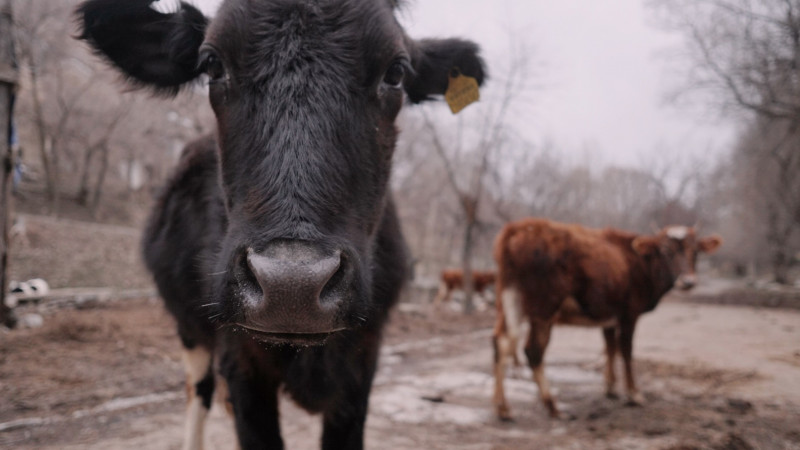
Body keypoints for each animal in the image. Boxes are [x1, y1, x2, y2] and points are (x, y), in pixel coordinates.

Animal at [76, 1, 488, 448]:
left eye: (395, 72)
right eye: (213, 64)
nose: (292, 286)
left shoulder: (363, 362)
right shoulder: (240, 362)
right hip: (190, 329)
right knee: (198, 392)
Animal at [490, 220, 720, 420]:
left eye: (696, 251)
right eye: (666, 251)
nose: (688, 281)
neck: (639, 262)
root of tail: (519, 227)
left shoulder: (609, 315)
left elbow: (610, 347)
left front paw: (610, 387)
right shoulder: (629, 314)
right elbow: (626, 350)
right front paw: (634, 393)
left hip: (509, 299)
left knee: (501, 342)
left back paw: (503, 408)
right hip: (543, 309)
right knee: (533, 351)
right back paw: (552, 406)